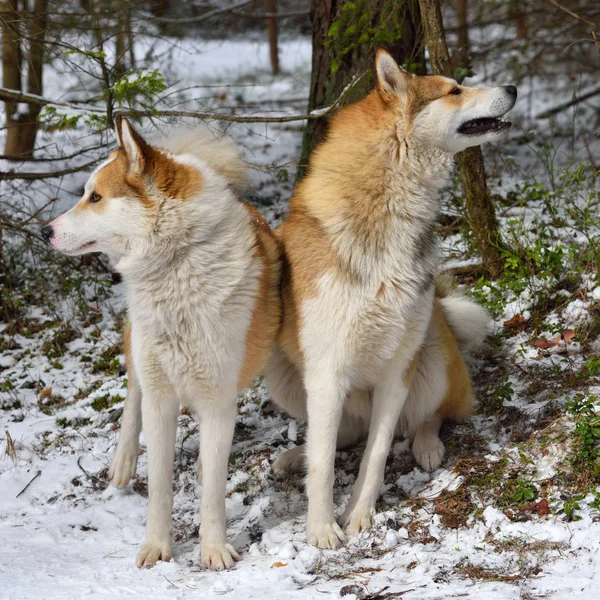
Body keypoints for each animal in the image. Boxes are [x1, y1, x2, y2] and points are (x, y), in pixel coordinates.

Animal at [42, 118, 282, 572]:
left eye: (95, 197)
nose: (44, 231)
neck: (177, 263)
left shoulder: (218, 396)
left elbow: (213, 490)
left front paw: (213, 549)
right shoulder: (160, 397)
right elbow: (159, 485)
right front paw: (157, 547)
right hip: (142, 351)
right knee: (132, 392)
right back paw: (122, 463)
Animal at [264, 50, 516, 548]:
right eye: (454, 90)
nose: (514, 89)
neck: (387, 204)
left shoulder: (397, 369)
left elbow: (377, 454)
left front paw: (359, 514)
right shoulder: (327, 372)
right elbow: (324, 464)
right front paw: (322, 528)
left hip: (432, 355)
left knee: (428, 416)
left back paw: (427, 444)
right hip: (283, 373)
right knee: (341, 435)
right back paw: (295, 455)